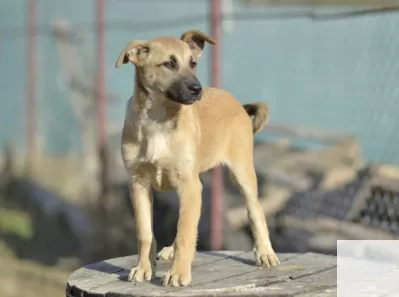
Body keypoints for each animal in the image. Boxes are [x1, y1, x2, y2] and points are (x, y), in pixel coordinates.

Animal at [114, 28, 280, 286]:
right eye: (169, 64)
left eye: (193, 63)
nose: (197, 89)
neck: (158, 121)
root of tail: (237, 103)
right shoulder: (139, 184)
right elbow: (146, 233)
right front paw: (143, 268)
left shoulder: (188, 184)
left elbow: (185, 232)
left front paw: (178, 273)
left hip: (241, 172)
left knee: (255, 211)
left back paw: (265, 253)